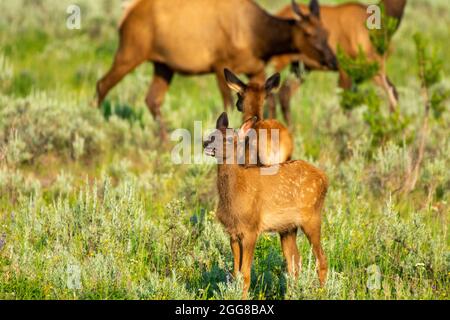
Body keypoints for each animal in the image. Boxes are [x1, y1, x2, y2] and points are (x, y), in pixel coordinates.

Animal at [96, 0, 336, 140]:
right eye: (309, 33)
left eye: (326, 31)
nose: (333, 61)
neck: (259, 40)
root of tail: (125, 13)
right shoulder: (220, 64)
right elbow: (228, 106)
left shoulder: (256, 69)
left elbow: (269, 104)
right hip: (130, 51)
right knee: (102, 85)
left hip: (163, 65)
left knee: (152, 99)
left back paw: (165, 141)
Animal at [203, 112, 326, 300]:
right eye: (212, 133)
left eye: (230, 139)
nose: (206, 143)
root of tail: (325, 178)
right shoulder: (232, 232)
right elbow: (235, 273)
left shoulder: (251, 229)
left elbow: (245, 274)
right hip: (287, 228)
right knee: (295, 263)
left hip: (312, 217)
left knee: (321, 260)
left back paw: (322, 292)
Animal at [268, 0, 410, 125]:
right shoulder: (345, 65)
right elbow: (346, 107)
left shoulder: (373, 68)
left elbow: (393, 93)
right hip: (278, 60)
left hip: (301, 67)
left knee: (284, 93)